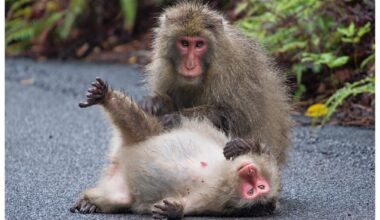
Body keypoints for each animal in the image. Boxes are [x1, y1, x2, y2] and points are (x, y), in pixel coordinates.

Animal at [70, 78, 280, 218]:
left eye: (257, 189)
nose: (250, 170)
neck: (225, 174)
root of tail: (119, 161)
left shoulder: (214, 201)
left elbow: (189, 206)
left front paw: (174, 211)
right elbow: (263, 153)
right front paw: (245, 145)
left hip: (120, 189)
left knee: (117, 199)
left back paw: (90, 201)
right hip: (150, 134)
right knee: (142, 128)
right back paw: (105, 97)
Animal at [140, 1, 290, 163]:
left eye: (199, 44)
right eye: (185, 43)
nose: (190, 65)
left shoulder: (231, 72)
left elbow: (236, 116)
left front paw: (175, 118)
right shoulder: (163, 69)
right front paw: (156, 102)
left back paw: (244, 147)